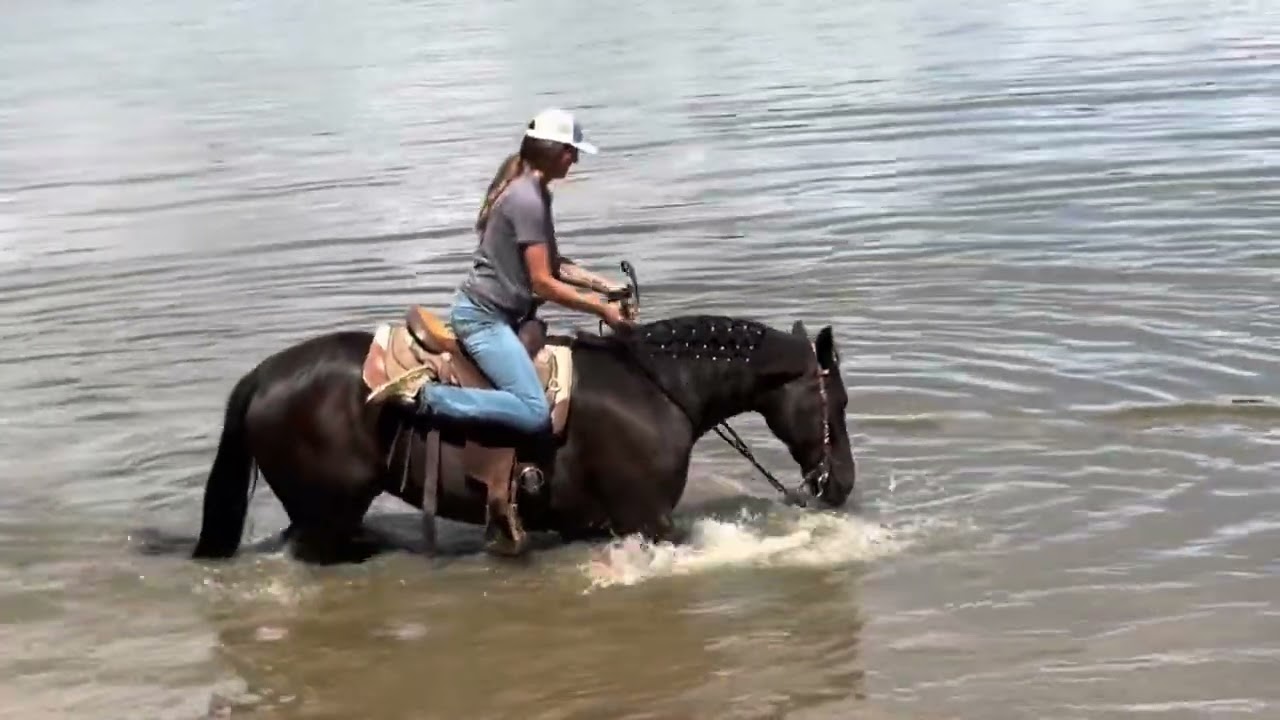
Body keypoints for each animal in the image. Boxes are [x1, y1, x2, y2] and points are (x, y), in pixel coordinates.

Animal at [189, 308, 857, 564]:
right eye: (841, 402)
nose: (843, 484)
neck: (659, 389)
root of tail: (263, 375)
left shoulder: (594, 524)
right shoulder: (649, 520)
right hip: (323, 517)